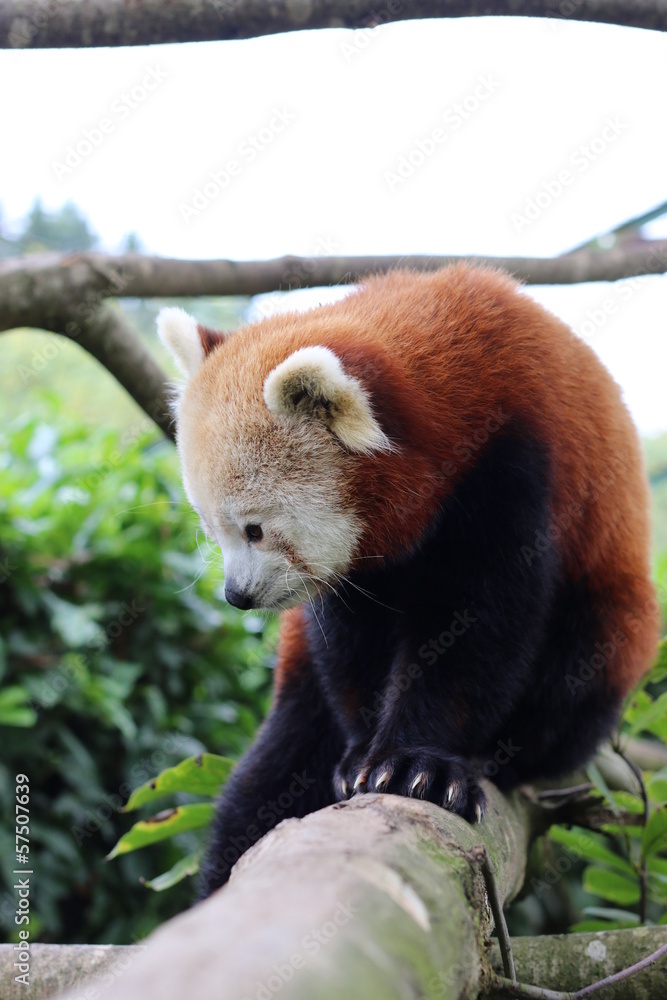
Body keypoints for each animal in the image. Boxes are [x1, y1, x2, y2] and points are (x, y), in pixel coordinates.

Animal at [157, 264, 659, 898]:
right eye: (211, 529)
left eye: (255, 529)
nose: (237, 596)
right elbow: (350, 641)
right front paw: (361, 755)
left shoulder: (515, 467)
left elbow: (478, 628)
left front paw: (418, 763)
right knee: (265, 781)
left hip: (611, 608)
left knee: (580, 665)